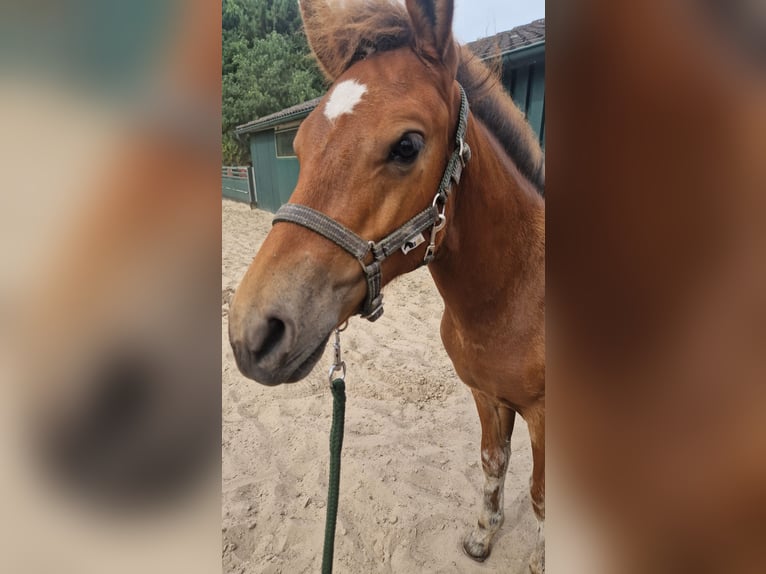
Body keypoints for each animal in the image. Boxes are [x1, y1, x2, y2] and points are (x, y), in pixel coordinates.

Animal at [228, 0, 545, 570]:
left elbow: (542, 501)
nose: (253, 333)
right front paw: (482, 537)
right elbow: (493, 460)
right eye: (300, 144)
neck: (515, 295)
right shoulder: (488, 396)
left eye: (407, 145)